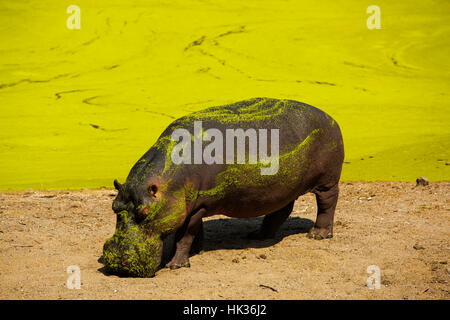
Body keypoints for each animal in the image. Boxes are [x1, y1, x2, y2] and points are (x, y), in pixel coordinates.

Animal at [102, 97, 344, 278]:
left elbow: (184, 236)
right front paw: (197, 250)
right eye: (114, 207)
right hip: (282, 188)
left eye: (145, 212)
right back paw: (258, 235)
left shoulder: (197, 207)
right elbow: (192, 232)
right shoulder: (191, 206)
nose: (117, 262)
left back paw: (318, 235)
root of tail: (330, 117)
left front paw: (176, 265)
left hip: (327, 182)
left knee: (327, 205)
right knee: (281, 210)